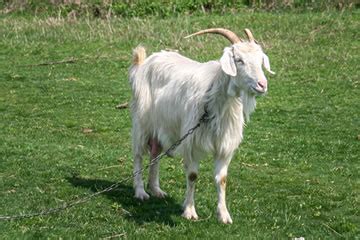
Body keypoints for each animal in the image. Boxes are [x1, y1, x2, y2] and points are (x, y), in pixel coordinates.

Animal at [128, 28, 274, 225]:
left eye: (260, 60)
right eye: (239, 60)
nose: (262, 85)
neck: (212, 99)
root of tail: (144, 63)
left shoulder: (224, 145)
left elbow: (222, 179)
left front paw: (224, 215)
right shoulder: (191, 142)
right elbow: (192, 176)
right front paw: (189, 211)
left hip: (161, 127)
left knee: (155, 154)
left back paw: (156, 189)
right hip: (142, 121)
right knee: (138, 155)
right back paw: (141, 192)